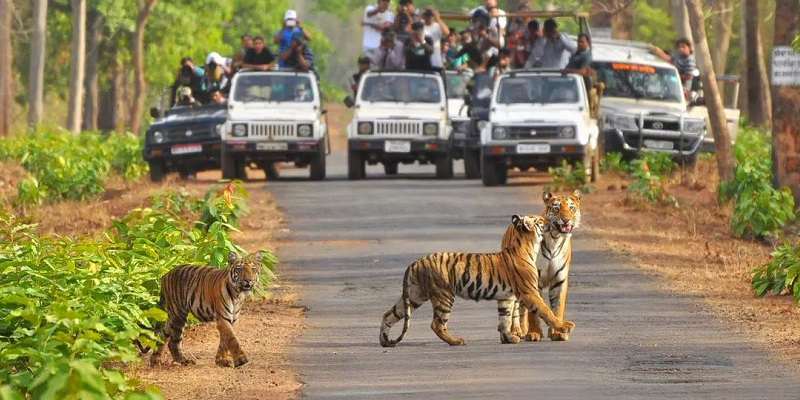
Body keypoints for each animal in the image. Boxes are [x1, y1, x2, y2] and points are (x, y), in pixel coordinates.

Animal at [380, 212, 576, 346]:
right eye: (540, 220)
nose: (551, 221)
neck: (528, 245)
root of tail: (415, 262)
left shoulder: (506, 298)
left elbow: (504, 318)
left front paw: (508, 338)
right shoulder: (529, 292)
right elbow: (546, 311)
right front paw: (564, 327)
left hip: (415, 295)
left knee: (389, 314)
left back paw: (384, 340)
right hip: (443, 295)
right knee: (437, 324)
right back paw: (456, 341)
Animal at [510, 190, 584, 340]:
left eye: (571, 208)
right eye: (556, 208)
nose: (566, 220)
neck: (555, 239)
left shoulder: (559, 280)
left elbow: (557, 307)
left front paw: (557, 332)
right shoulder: (533, 280)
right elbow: (534, 311)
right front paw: (534, 333)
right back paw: (517, 331)